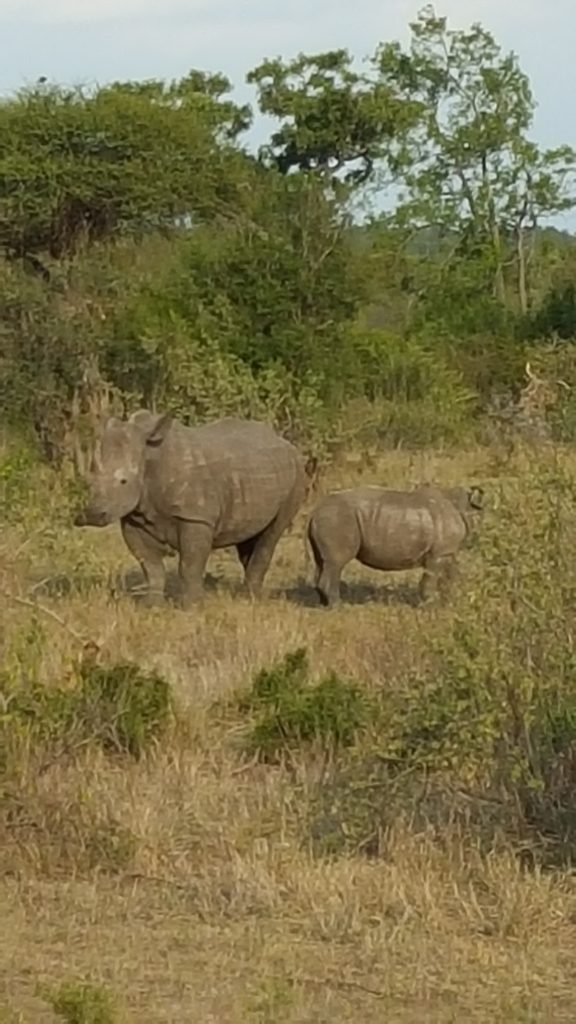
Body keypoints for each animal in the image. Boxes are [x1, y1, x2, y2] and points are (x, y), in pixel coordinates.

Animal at [74, 410, 308, 607]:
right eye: (87, 479)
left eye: (123, 481)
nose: (91, 514)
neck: (150, 458)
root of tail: (285, 442)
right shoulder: (134, 518)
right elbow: (150, 565)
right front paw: (152, 606)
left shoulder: (195, 517)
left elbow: (189, 564)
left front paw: (192, 607)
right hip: (258, 474)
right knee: (250, 534)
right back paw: (248, 595)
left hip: (297, 473)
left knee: (272, 533)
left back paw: (250, 599)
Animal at [307, 483, 484, 607]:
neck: (462, 505)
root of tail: (314, 513)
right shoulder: (439, 553)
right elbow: (431, 578)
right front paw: (430, 605)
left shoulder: (448, 552)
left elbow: (453, 576)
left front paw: (453, 600)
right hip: (338, 518)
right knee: (336, 563)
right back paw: (338, 607)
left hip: (330, 519)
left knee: (321, 561)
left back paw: (323, 604)